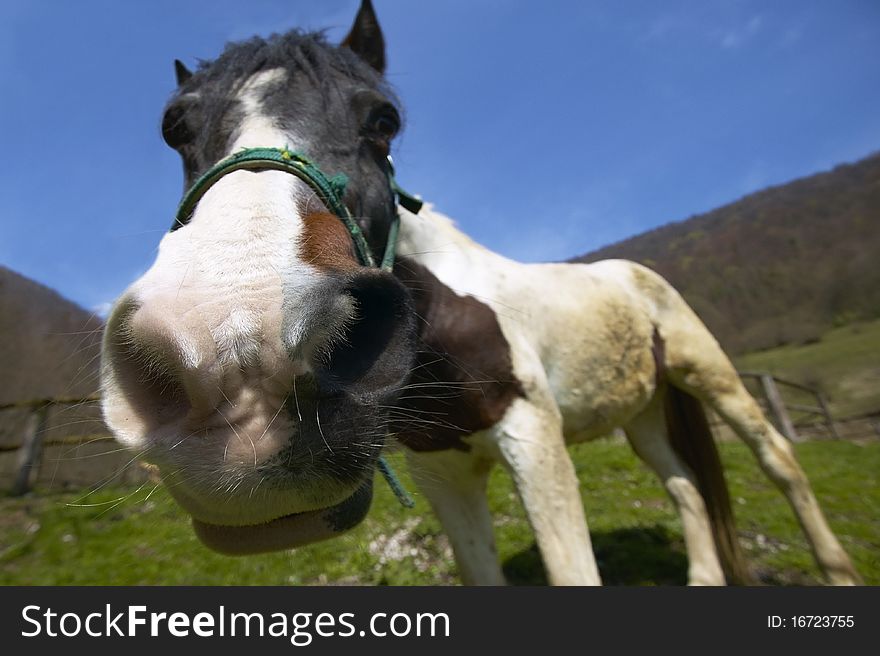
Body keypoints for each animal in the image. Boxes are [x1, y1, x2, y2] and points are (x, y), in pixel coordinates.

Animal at [98, 0, 860, 584]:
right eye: (175, 128)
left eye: (384, 119)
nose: (235, 356)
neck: (446, 324)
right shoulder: (445, 474)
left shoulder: (535, 442)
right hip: (642, 413)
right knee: (686, 486)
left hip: (709, 373)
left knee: (779, 460)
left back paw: (838, 569)